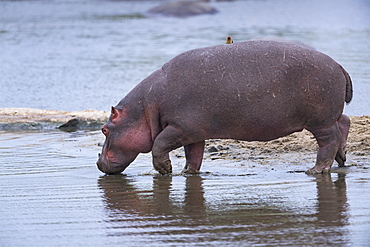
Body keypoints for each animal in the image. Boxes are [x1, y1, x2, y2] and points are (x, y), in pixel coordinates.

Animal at [97, 40, 352, 175]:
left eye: (104, 129)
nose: (98, 163)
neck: (146, 107)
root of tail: (339, 65)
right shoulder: (194, 133)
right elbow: (194, 155)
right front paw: (187, 173)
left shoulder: (179, 128)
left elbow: (159, 144)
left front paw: (166, 170)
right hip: (329, 115)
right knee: (344, 122)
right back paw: (341, 159)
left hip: (320, 120)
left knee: (329, 140)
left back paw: (316, 170)